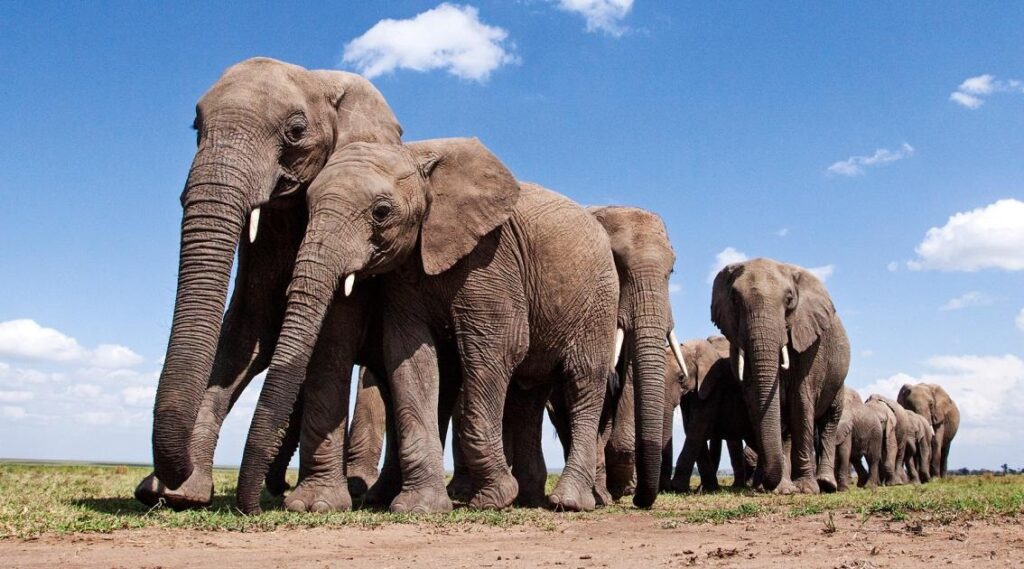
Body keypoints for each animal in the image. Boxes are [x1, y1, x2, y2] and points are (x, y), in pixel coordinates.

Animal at [137, 57, 403, 509]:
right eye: (196, 125)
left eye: (295, 131)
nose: (162, 484)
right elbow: (249, 328)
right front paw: (180, 494)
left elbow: (325, 332)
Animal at [234, 137, 620, 515]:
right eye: (308, 209)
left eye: (381, 212)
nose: (255, 509)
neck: (417, 159)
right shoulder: (406, 275)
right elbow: (409, 357)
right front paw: (420, 507)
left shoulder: (490, 257)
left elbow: (497, 347)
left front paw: (492, 499)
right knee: (528, 395)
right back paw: (529, 499)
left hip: (599, 300)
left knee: (582, 384)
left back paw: (568, 502)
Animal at [665, 336, 755, 493]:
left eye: (681, 377)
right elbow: (690, 427)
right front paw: (706, 489)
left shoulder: (711, 385)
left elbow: (697, 427)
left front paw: (677, 487)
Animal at [711, 258, 850, 494]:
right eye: (735, 299)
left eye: (789, 300)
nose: (763, 484)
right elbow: (757, 405)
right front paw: (772, 488)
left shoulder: (812, 345)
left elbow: (801, 402)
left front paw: (805, 489)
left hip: (838, 379)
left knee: (829, 421)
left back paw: (825, 484)